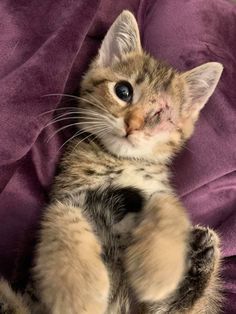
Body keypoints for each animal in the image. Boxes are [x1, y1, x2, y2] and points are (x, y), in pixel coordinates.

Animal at [0, 9, 224, 314]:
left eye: (161, 114)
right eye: (123, 91)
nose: (133, 125)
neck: (120, 164)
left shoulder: (156, 188)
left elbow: (165, 202)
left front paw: (159, 270)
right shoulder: (67, 196)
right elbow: (64, 218)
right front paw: (80, 293)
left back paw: (200, 256)